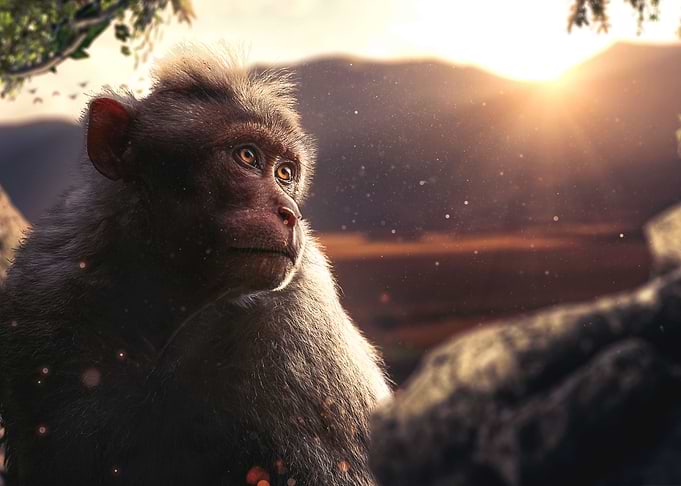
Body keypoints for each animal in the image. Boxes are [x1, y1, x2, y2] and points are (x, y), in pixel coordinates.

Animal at [0, 45, 390, 486]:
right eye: (247, 156)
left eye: (285, 173)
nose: (290, 212)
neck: (170, 295)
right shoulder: (42, 293)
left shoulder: (299, 332)